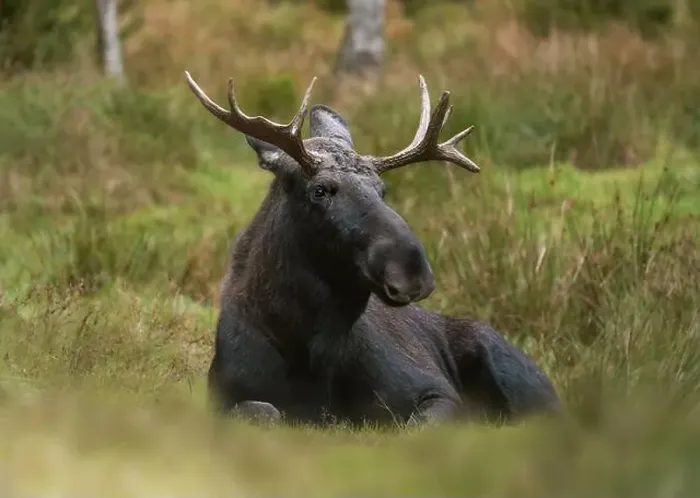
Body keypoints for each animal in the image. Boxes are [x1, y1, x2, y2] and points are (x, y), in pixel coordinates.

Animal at [184, 70, 562, 429]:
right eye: (320, 190)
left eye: (382, 189)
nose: (411, 270)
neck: (309, 352)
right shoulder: (224, 398)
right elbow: (264, 411)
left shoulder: (436, 392)